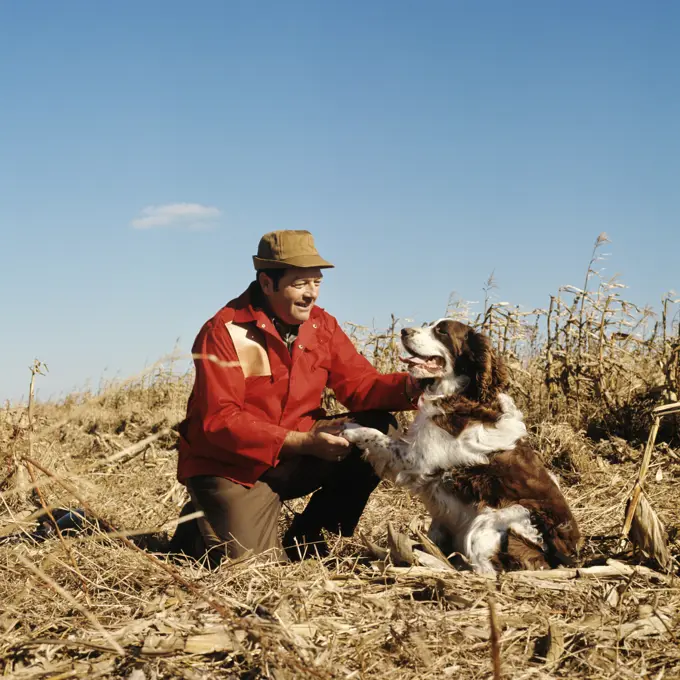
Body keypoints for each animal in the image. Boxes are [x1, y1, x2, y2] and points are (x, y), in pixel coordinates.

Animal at [342, 318, 580, 572]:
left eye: (442, 331)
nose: (404, 331)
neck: (459, 395)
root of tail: (565, 556)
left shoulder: (416, 459)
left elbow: (378, 437)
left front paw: (350, 428)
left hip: (490, 521)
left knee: (485, 571)